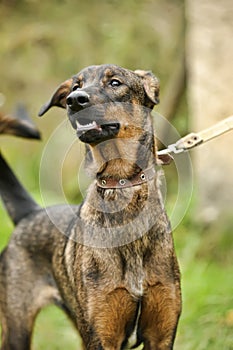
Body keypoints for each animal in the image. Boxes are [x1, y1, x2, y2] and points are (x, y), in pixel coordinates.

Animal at [0, 64, 181, 348]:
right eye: (76, 86)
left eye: (115, 82)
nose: (75, 100)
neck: (122, 187)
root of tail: (30, 213)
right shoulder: (102, 334)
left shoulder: (161, 333)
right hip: (18, 325)